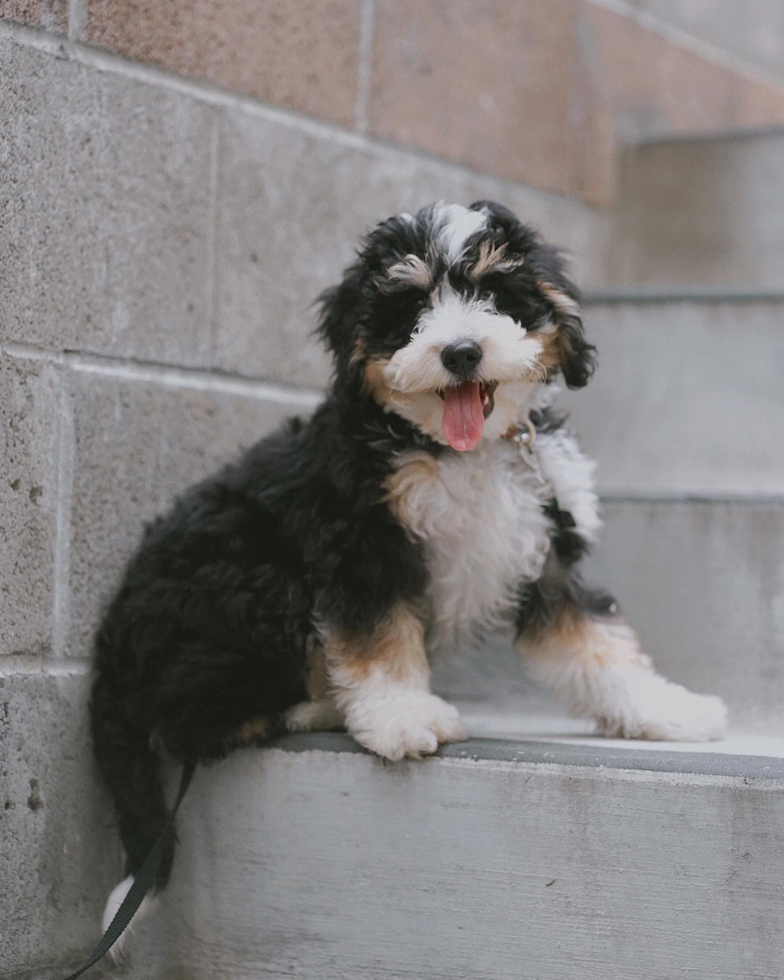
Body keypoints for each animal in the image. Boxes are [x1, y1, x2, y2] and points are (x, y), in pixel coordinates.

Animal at [92, 201, 728, 940]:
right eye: (411, 306)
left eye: (494, 292)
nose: (461, 352)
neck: (462, 451)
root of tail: (109, 652)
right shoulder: (361, 542)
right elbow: (378, 636)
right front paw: (399, 716)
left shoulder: (546, 549)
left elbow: (596, 645)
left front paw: (668, 709)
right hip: (250, 573)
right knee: (185, 720)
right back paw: (314, 704)